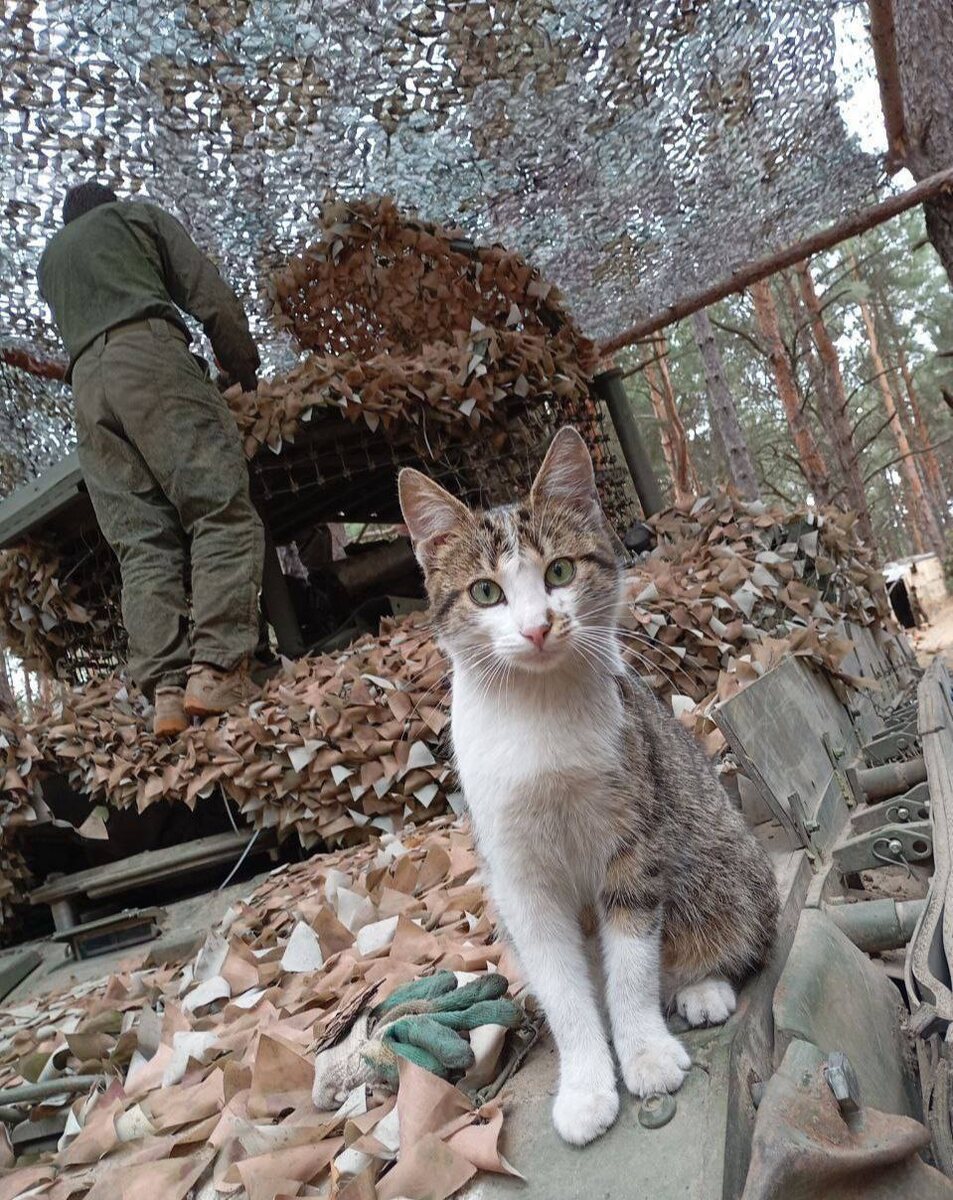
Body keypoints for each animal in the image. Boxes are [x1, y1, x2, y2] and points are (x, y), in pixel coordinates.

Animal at [398, 427, 778, 1146]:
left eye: (559, 572)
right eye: (485, 592)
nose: (537, 626)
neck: (539, 714)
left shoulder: (634, 835)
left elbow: (630, 961)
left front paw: (645, 1054)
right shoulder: (518, 877)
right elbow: (562, 985)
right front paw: (583, 1087)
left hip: (721, 854)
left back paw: (700, 988)